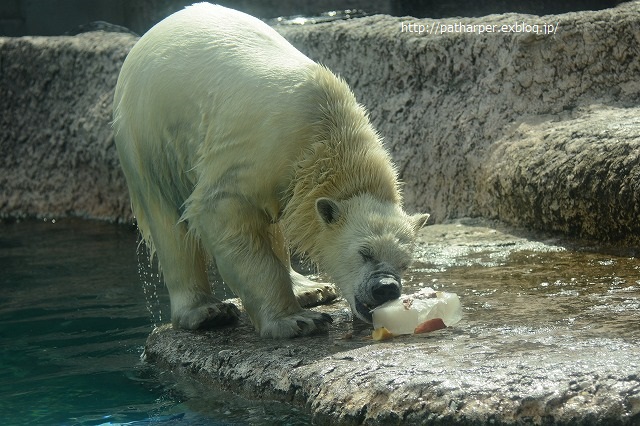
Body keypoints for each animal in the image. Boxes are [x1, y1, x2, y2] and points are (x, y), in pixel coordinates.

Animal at [112, 1, 428, 338]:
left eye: (405, 262)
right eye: (364, 252)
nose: (386, 288)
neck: (326, 131)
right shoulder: (261, 150)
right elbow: (222, 210)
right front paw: (298, 320)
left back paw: (310, 288)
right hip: (148, 133)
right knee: (167, 219)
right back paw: (206, 312)